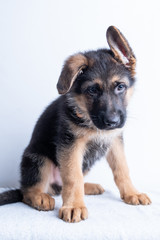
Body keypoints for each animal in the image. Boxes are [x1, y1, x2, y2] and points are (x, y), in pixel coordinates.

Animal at [0, 26, 151, 223]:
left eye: (120, 87)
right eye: (92, 90)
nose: (112, 122)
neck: (88, 117)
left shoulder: (115, 141)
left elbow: (122, 168)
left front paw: (132, 193)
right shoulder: (70, 144)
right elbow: (73, 176)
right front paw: (74, 206)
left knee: (61, 187)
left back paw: (89, 187)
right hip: (39, 159)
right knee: (30, 191)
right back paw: (40, 197)